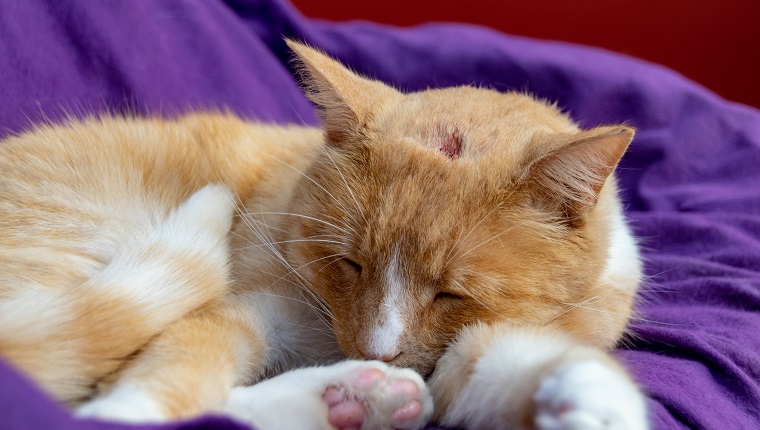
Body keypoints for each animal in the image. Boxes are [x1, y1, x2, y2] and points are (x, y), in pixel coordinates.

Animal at [0, 41, 648, 430]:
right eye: (350, 263)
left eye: (451, 294)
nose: (376, 351)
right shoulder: (249, 306)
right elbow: (182, 365)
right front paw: (130, 411)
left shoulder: (470, 353)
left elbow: (511, 363)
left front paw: (596, 400)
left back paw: (357, 399)